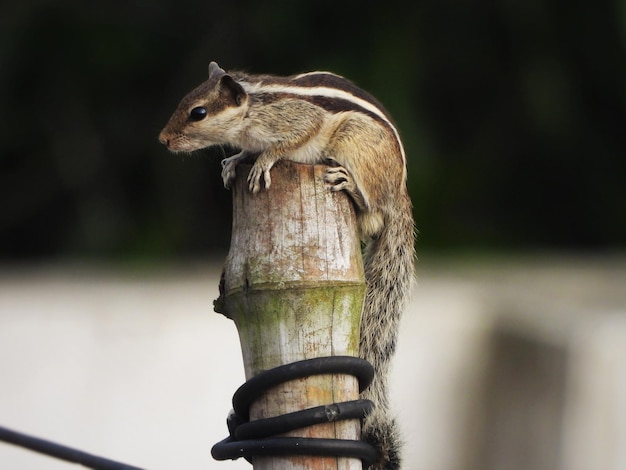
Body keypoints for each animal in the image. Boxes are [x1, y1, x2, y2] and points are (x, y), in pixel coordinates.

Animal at [158, 62, 414, 470]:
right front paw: (233, 162)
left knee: (372, 212)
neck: (252, 108)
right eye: (185, 101)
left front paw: (262, 161)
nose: (164, 139)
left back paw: (349, 185)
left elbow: (286, 143)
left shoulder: (297, 121)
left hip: (356, 146)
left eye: (198, 112)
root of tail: (400, 195)